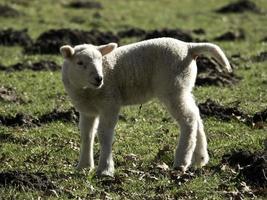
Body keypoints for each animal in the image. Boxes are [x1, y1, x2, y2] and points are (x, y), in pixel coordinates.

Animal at [59, 36, 231, 176]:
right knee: (195, 114)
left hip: (173, 86)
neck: (87, 91)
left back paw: (181, 161)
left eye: (101, 61)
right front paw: (84, 166)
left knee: (188, 119)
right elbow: (86, 135)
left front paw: (105, 169)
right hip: (184, 87)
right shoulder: (87, 110)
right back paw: (200, 158)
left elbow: (104, 134)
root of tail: (188, 47)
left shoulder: (110, 102)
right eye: (80, 63)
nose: (99, 78)